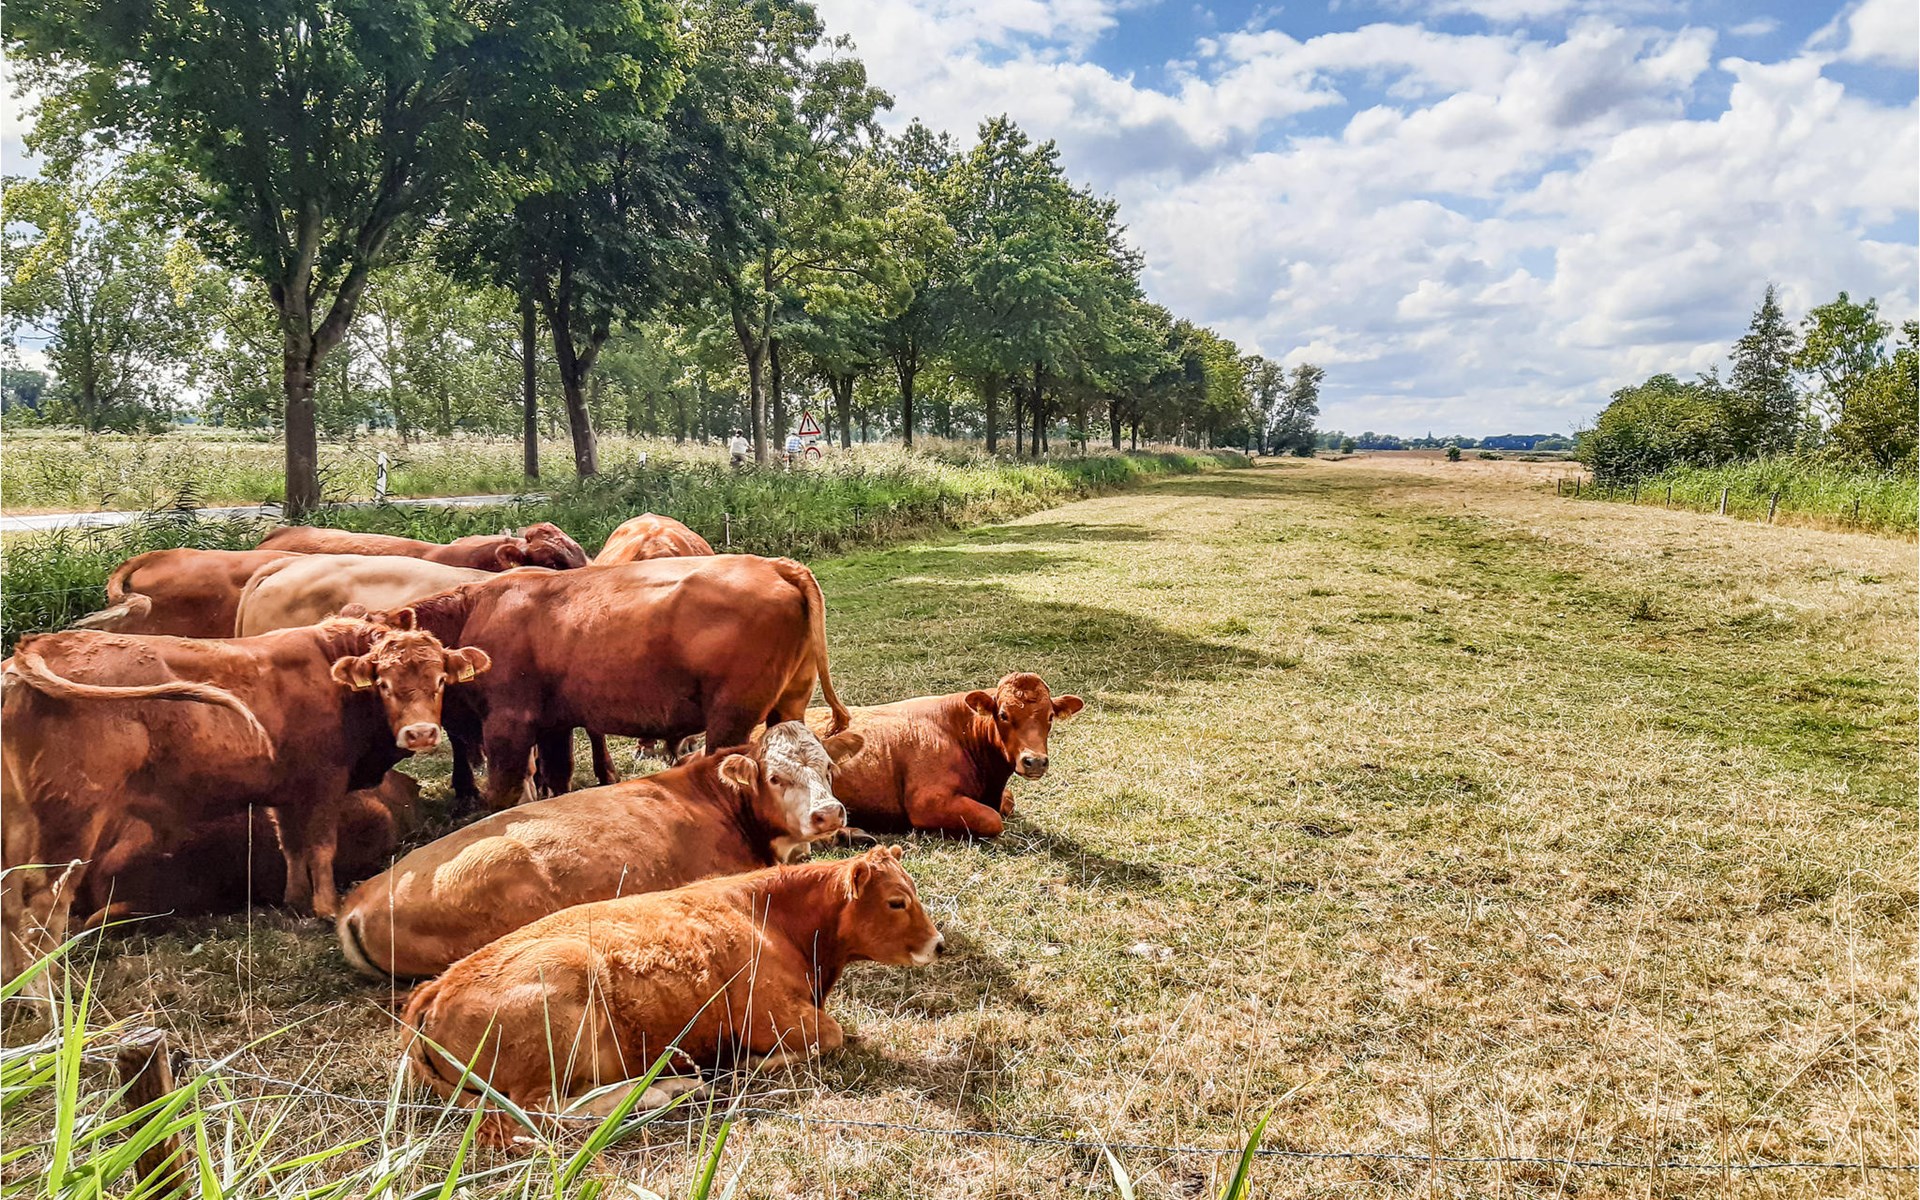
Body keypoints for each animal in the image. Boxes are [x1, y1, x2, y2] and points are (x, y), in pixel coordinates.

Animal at [381, 554, 851, 812]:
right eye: (382, 680)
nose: (415, 733)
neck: (474, 612)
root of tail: (776, 565)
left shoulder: (507, 723)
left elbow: (504, 791)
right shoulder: (552, 724)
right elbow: (557, 778)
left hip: (731, 714)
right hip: (788, 702)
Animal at [401, 846, 942, 1147]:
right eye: (897, 901)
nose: (939, 944)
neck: (773, 918)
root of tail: (436, 988)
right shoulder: (771, 1014)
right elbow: (830, 1036)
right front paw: (746, 1063)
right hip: (565, 993)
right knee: (543, 1111)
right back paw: (668, 1089)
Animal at [792, 672, 1084, 838]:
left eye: (1050, 717)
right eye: (1003, 715)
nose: (1034, 761)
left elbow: (1007, 803)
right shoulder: (927, 802)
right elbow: (993, 819)